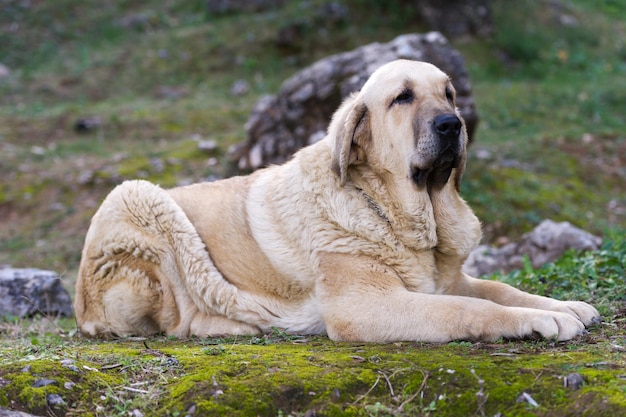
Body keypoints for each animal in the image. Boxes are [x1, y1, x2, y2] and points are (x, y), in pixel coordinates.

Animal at [74, 59, 600, 342]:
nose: (452, 125)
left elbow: (499, 289)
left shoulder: (450, 279)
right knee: (178, 317)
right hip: (140, 199)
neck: (388, 208)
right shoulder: (363, 305)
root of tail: (81, 305)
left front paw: (564, 305)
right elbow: (470, 310)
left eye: (449, 94)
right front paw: (542, 321)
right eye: (403, 98)